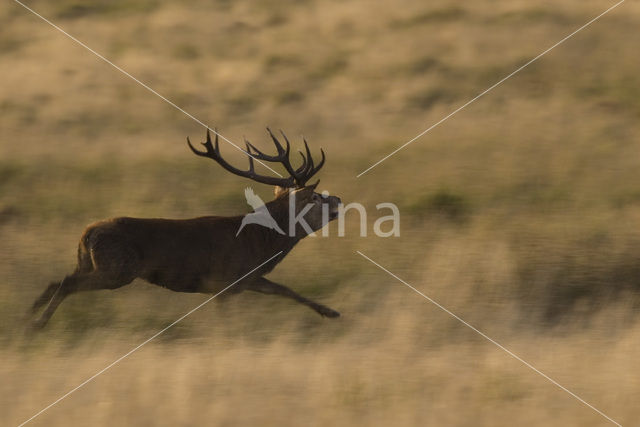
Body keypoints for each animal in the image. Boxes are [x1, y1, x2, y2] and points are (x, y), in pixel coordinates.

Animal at [29, 129, 342, 330]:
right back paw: (37, 325)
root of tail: (87, 233)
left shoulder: (246, 278)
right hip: (117, 269)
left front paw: (331, 311)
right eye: (315, 197)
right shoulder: (226, 280)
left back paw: (29, 314)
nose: (338, 199)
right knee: (67, 283)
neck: (263, 243)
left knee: (58, 280)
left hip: (91, 263)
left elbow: (286, 289)